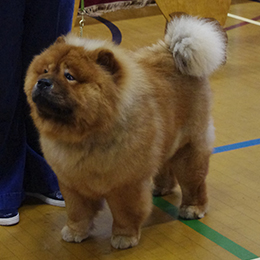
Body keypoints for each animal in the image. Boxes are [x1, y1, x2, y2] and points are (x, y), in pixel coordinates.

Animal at [24, 14, 228, 250]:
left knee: (194, 182)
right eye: (45, 70)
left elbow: (125, 213)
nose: (43, 82)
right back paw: (161, 189)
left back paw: (193, 208)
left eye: (69, 76)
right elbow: (77, 212)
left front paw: (124, 238)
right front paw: (75, 232)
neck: (85, 135)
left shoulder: (126, 183)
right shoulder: (71, 182)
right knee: (165, 165)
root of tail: (172, 53)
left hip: (189, 150)